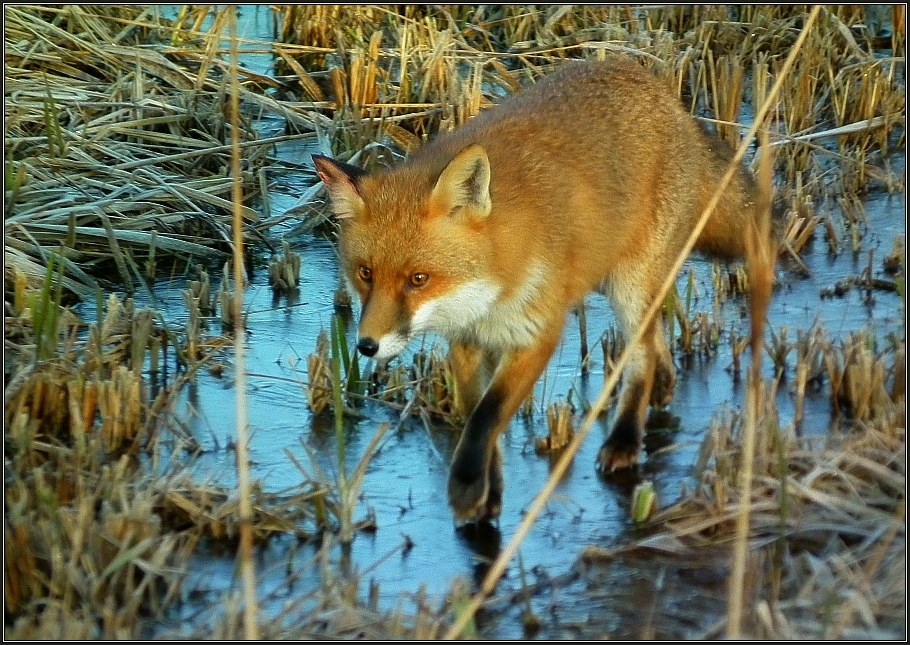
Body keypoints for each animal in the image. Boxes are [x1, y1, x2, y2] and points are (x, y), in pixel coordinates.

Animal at [314, 56, 768, 524]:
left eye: (418, 279)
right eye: (365, 273)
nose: (366, 346)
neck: (492, 289)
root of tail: (657, 88)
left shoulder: (536, 334)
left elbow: (486, 416)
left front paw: (466, 486)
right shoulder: (467, 341)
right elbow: (478, 415)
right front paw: (487, 494)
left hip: (630, 285)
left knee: (640, 357)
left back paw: (625, 438)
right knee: (657, 343)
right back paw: (662, 385)